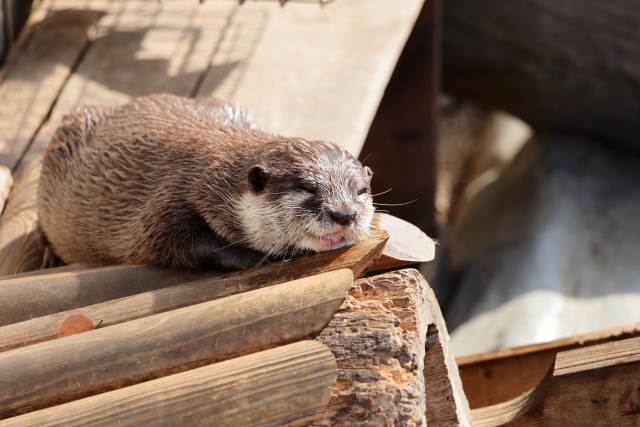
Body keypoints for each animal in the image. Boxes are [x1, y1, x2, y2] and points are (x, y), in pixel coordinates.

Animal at [36, 93, 376, 270]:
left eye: (361, 190)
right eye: (305, 188)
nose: (344, 214)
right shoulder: (168, 201)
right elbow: (172, 243)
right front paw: (254, 256)